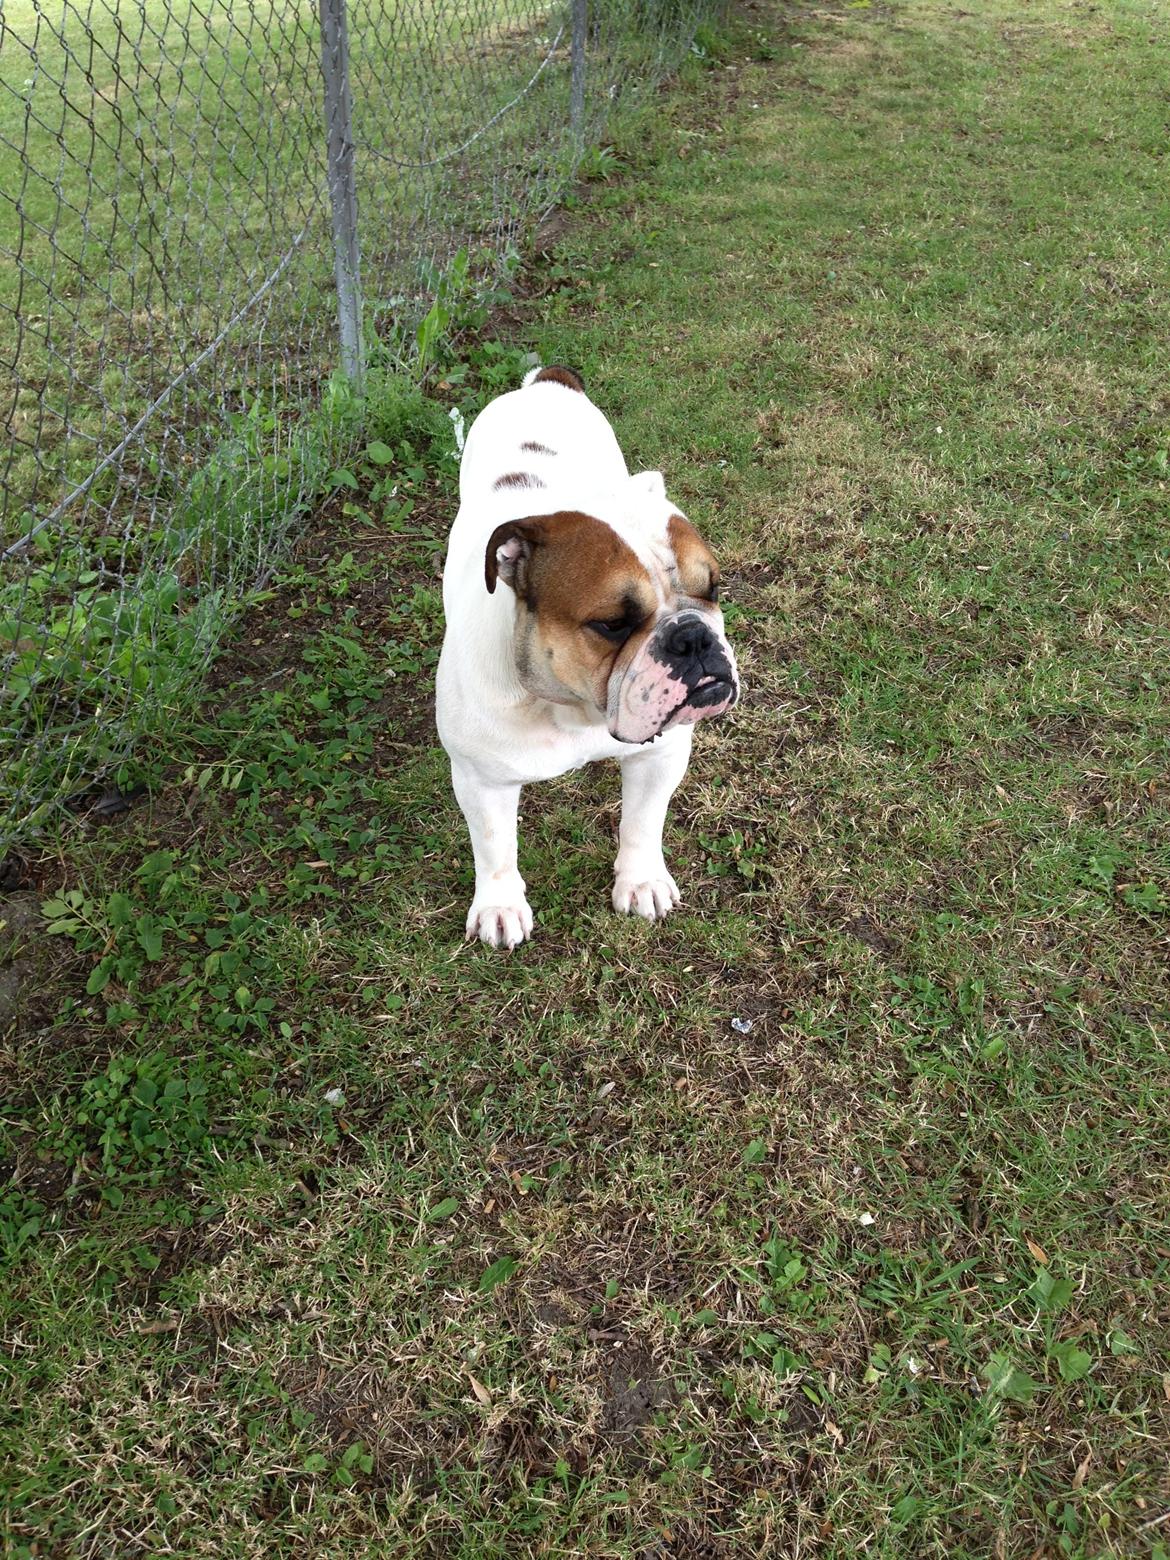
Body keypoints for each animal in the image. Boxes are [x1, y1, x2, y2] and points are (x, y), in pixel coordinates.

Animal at [436, 368, 736, 948]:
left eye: (712, 589)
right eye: (612, 624)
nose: (692, 637)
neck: (572, 709)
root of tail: (544, 382)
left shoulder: (660, 756)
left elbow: (642, 822)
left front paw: (640, 881)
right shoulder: (480, 780)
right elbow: (494, 847)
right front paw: (499, 906)